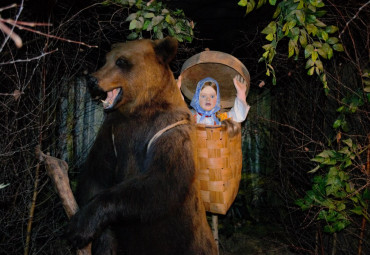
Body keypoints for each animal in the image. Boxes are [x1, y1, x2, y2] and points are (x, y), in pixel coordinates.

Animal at [65, 36, 218, 255]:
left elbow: (159, 181)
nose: (92, 80)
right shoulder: (111, 132)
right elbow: (95, 173)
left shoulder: (168, 130)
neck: (138, 110)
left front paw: (78, 228)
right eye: (105, 59)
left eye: (121, 61)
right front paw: (100, 240)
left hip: (191, 241)